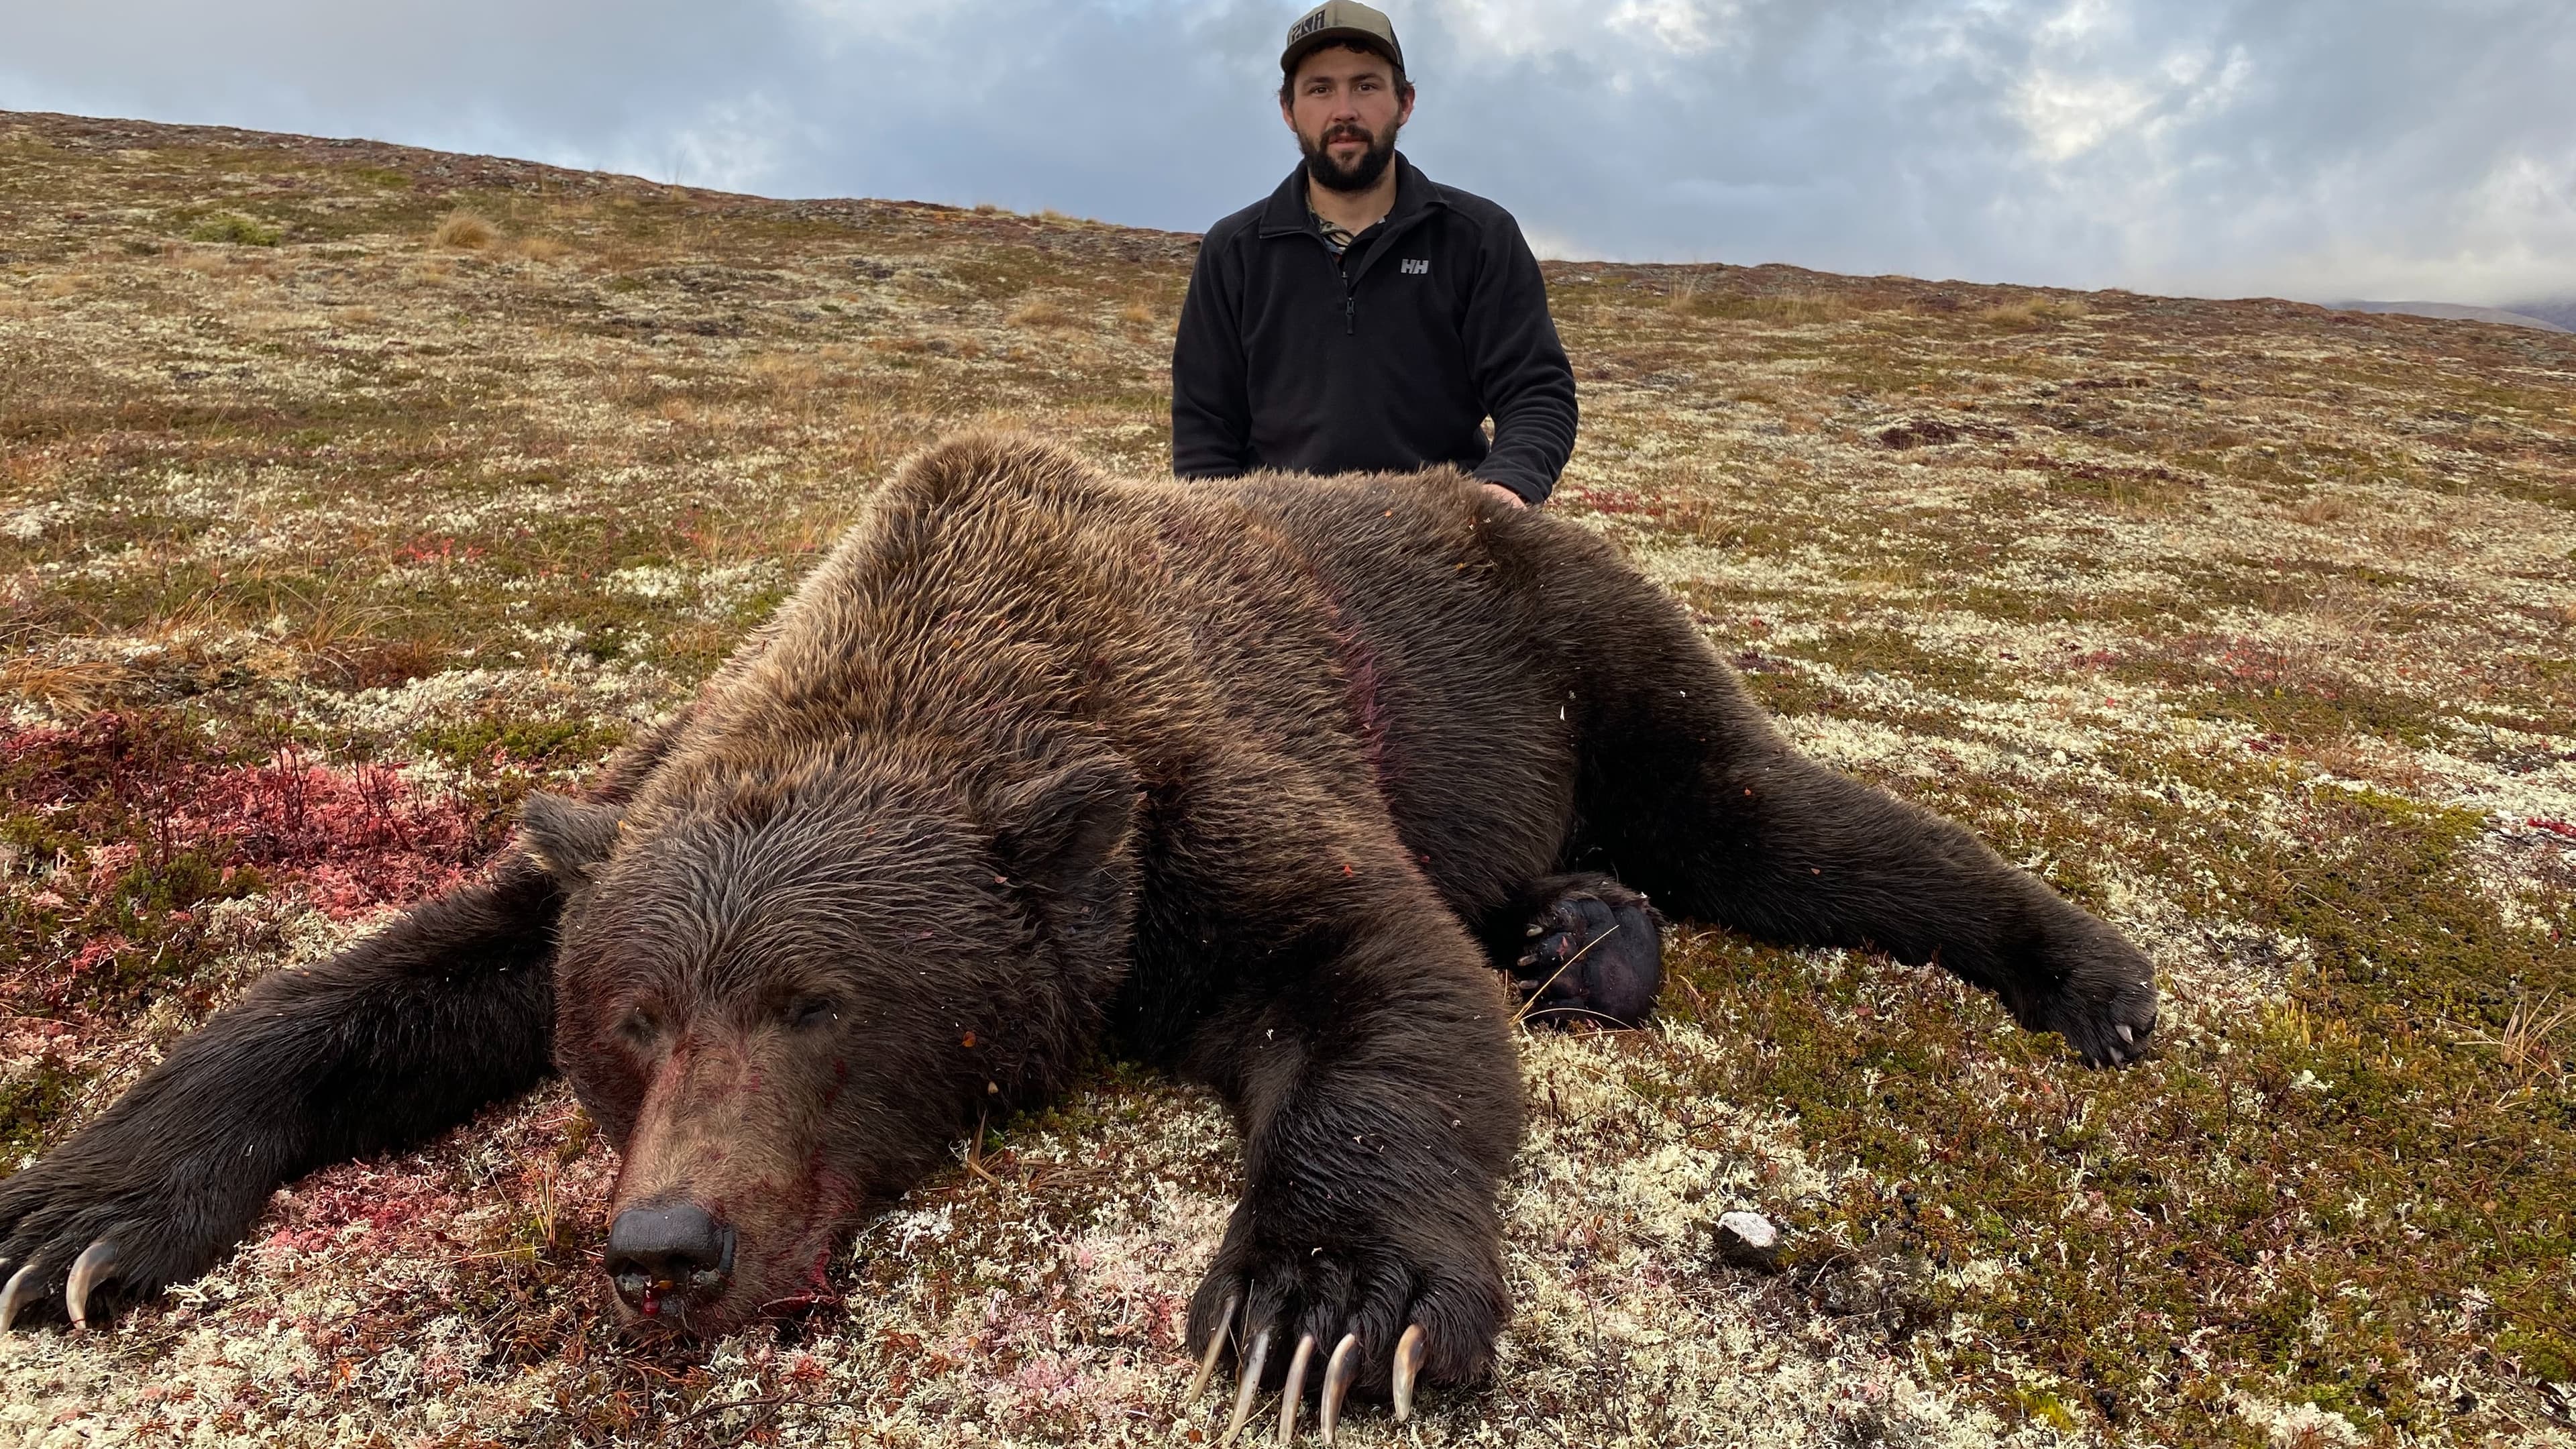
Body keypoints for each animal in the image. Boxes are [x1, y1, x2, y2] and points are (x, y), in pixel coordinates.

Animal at [0, 434, 2157, 1441]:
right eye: (628, 1025)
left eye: (816, 1002)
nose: (668, 1245)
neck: (937, 653)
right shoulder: (637, 801)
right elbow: (390, 974)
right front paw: (78, 1217)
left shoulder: (1199, 805)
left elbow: (1383, 987)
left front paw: (1322, 1303)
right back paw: (1589, 931)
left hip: (1580, 658)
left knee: (1781, 824)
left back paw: (2092, 975)